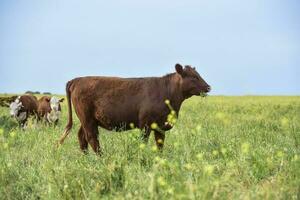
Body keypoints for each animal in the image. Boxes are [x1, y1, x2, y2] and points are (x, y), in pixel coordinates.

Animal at [58, 63, 211, 154]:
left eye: (198, 75)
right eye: (193, 77)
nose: (208, 87)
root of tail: (77, 80)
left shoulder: (160, 126)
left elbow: (160, 144)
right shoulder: (145, 125)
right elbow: (143, 142)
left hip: (87, 119)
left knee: (82, 137)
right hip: (87, 119)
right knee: (91, 138)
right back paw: (101, 157)